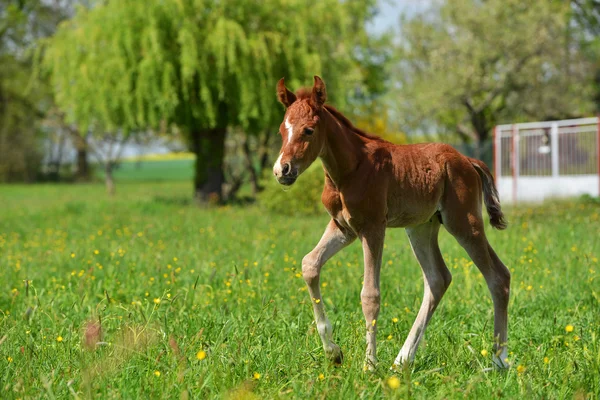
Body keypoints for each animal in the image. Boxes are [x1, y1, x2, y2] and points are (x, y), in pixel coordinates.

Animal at [274, 76, 510, 370]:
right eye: (282, 131)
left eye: (308, 130)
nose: (282, 170)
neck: (351, 169)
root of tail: (468, 160)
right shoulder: (343, 227)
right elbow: (309, 265)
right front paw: (334, 352)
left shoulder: (373, 228)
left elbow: (370, 295)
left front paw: (369, 365)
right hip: (422, 227)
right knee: (438, 279)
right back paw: (402, 359)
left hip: (464, 223)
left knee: (497, 277)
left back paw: (499, 360)